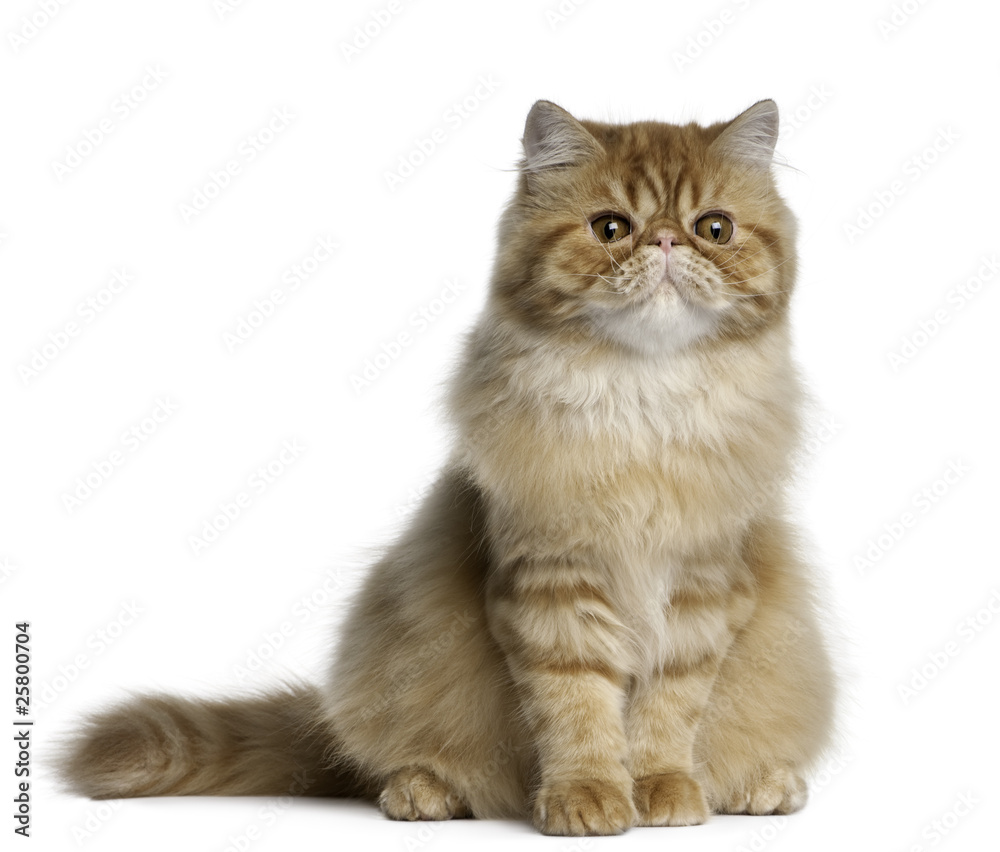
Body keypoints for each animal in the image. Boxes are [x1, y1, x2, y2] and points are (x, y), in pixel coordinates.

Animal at [60, 98, 836, 832]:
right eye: (612, 228)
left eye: (715, 229)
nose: (670, 240)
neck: (644, 403)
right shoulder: (550, 582)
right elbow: (578, 709)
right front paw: (587, 796)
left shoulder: (703, 585)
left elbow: (668, 712)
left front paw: (662, 790)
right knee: (392, 759)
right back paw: (422, 791)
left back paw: (768, 787)